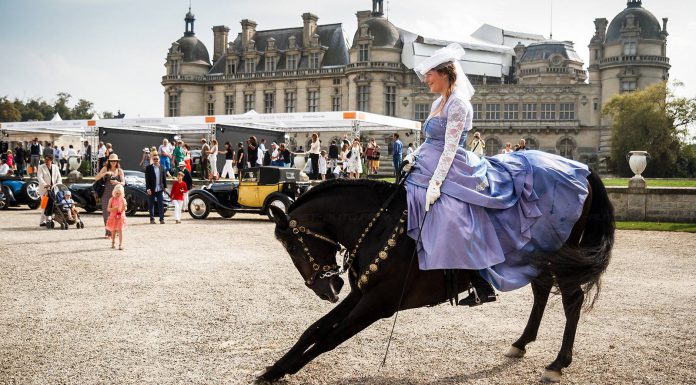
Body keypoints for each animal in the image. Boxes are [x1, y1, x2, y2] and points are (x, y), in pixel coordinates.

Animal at [260, 172, 616, 382]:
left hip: (561, 257)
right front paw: (276, 368)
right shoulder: (361, 294)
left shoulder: (378, 303)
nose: (328, 287)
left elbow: (328, 339)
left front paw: (285, 370)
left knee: (572, 301)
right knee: (542, 291)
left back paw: (559, 362)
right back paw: (521, 343)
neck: (382, 225)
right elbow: (314, 329)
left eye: (292, 246)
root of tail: (581, 171)